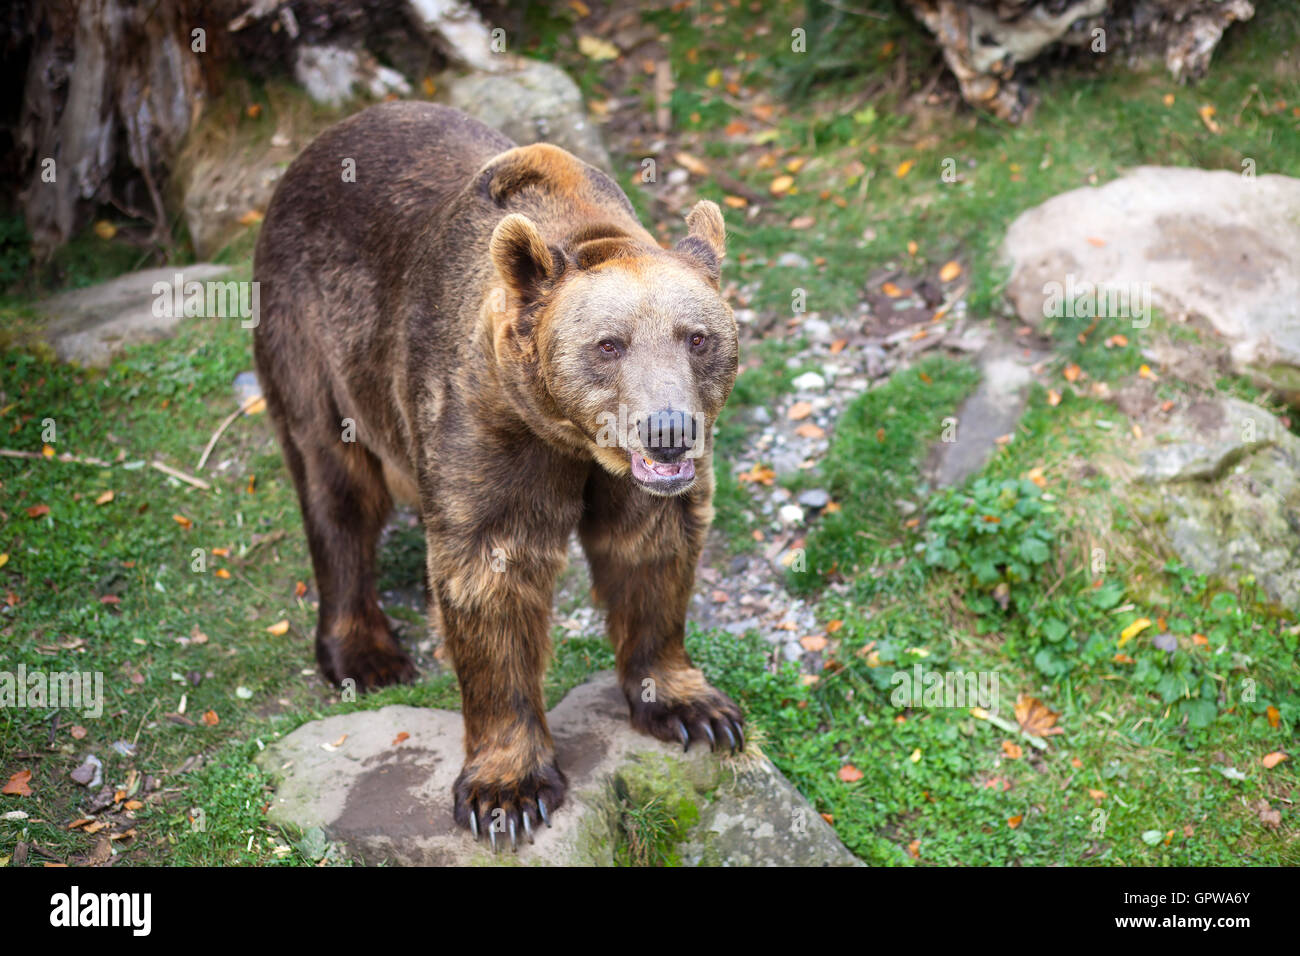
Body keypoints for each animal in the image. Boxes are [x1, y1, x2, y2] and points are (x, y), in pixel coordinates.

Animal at [253, 102, 743, 853]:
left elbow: (651, 547)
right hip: (311, 331)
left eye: (697, 337)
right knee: (335, 484)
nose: (668, 429)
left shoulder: (634, 483)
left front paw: (693, 708)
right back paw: (365, 653)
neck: (571, 438)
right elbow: (492, 577)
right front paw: (508, 792)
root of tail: (318, 143)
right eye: (609, 345)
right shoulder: (487, 425)